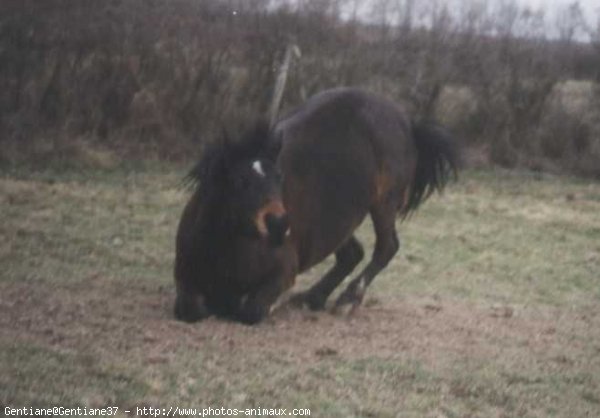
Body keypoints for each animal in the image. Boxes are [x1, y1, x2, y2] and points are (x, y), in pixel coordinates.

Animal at [173, 87, 460, 324]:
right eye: (238, 181)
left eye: (279, 177)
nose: (279, 224)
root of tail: (407, 123)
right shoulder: (184, 276)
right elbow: (191, 309)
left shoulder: (283, 272)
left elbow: (251, 309)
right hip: (340, 220)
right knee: (352, 253)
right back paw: (313, 297)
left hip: (384, 203)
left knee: (386, 247)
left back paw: (347, 300)